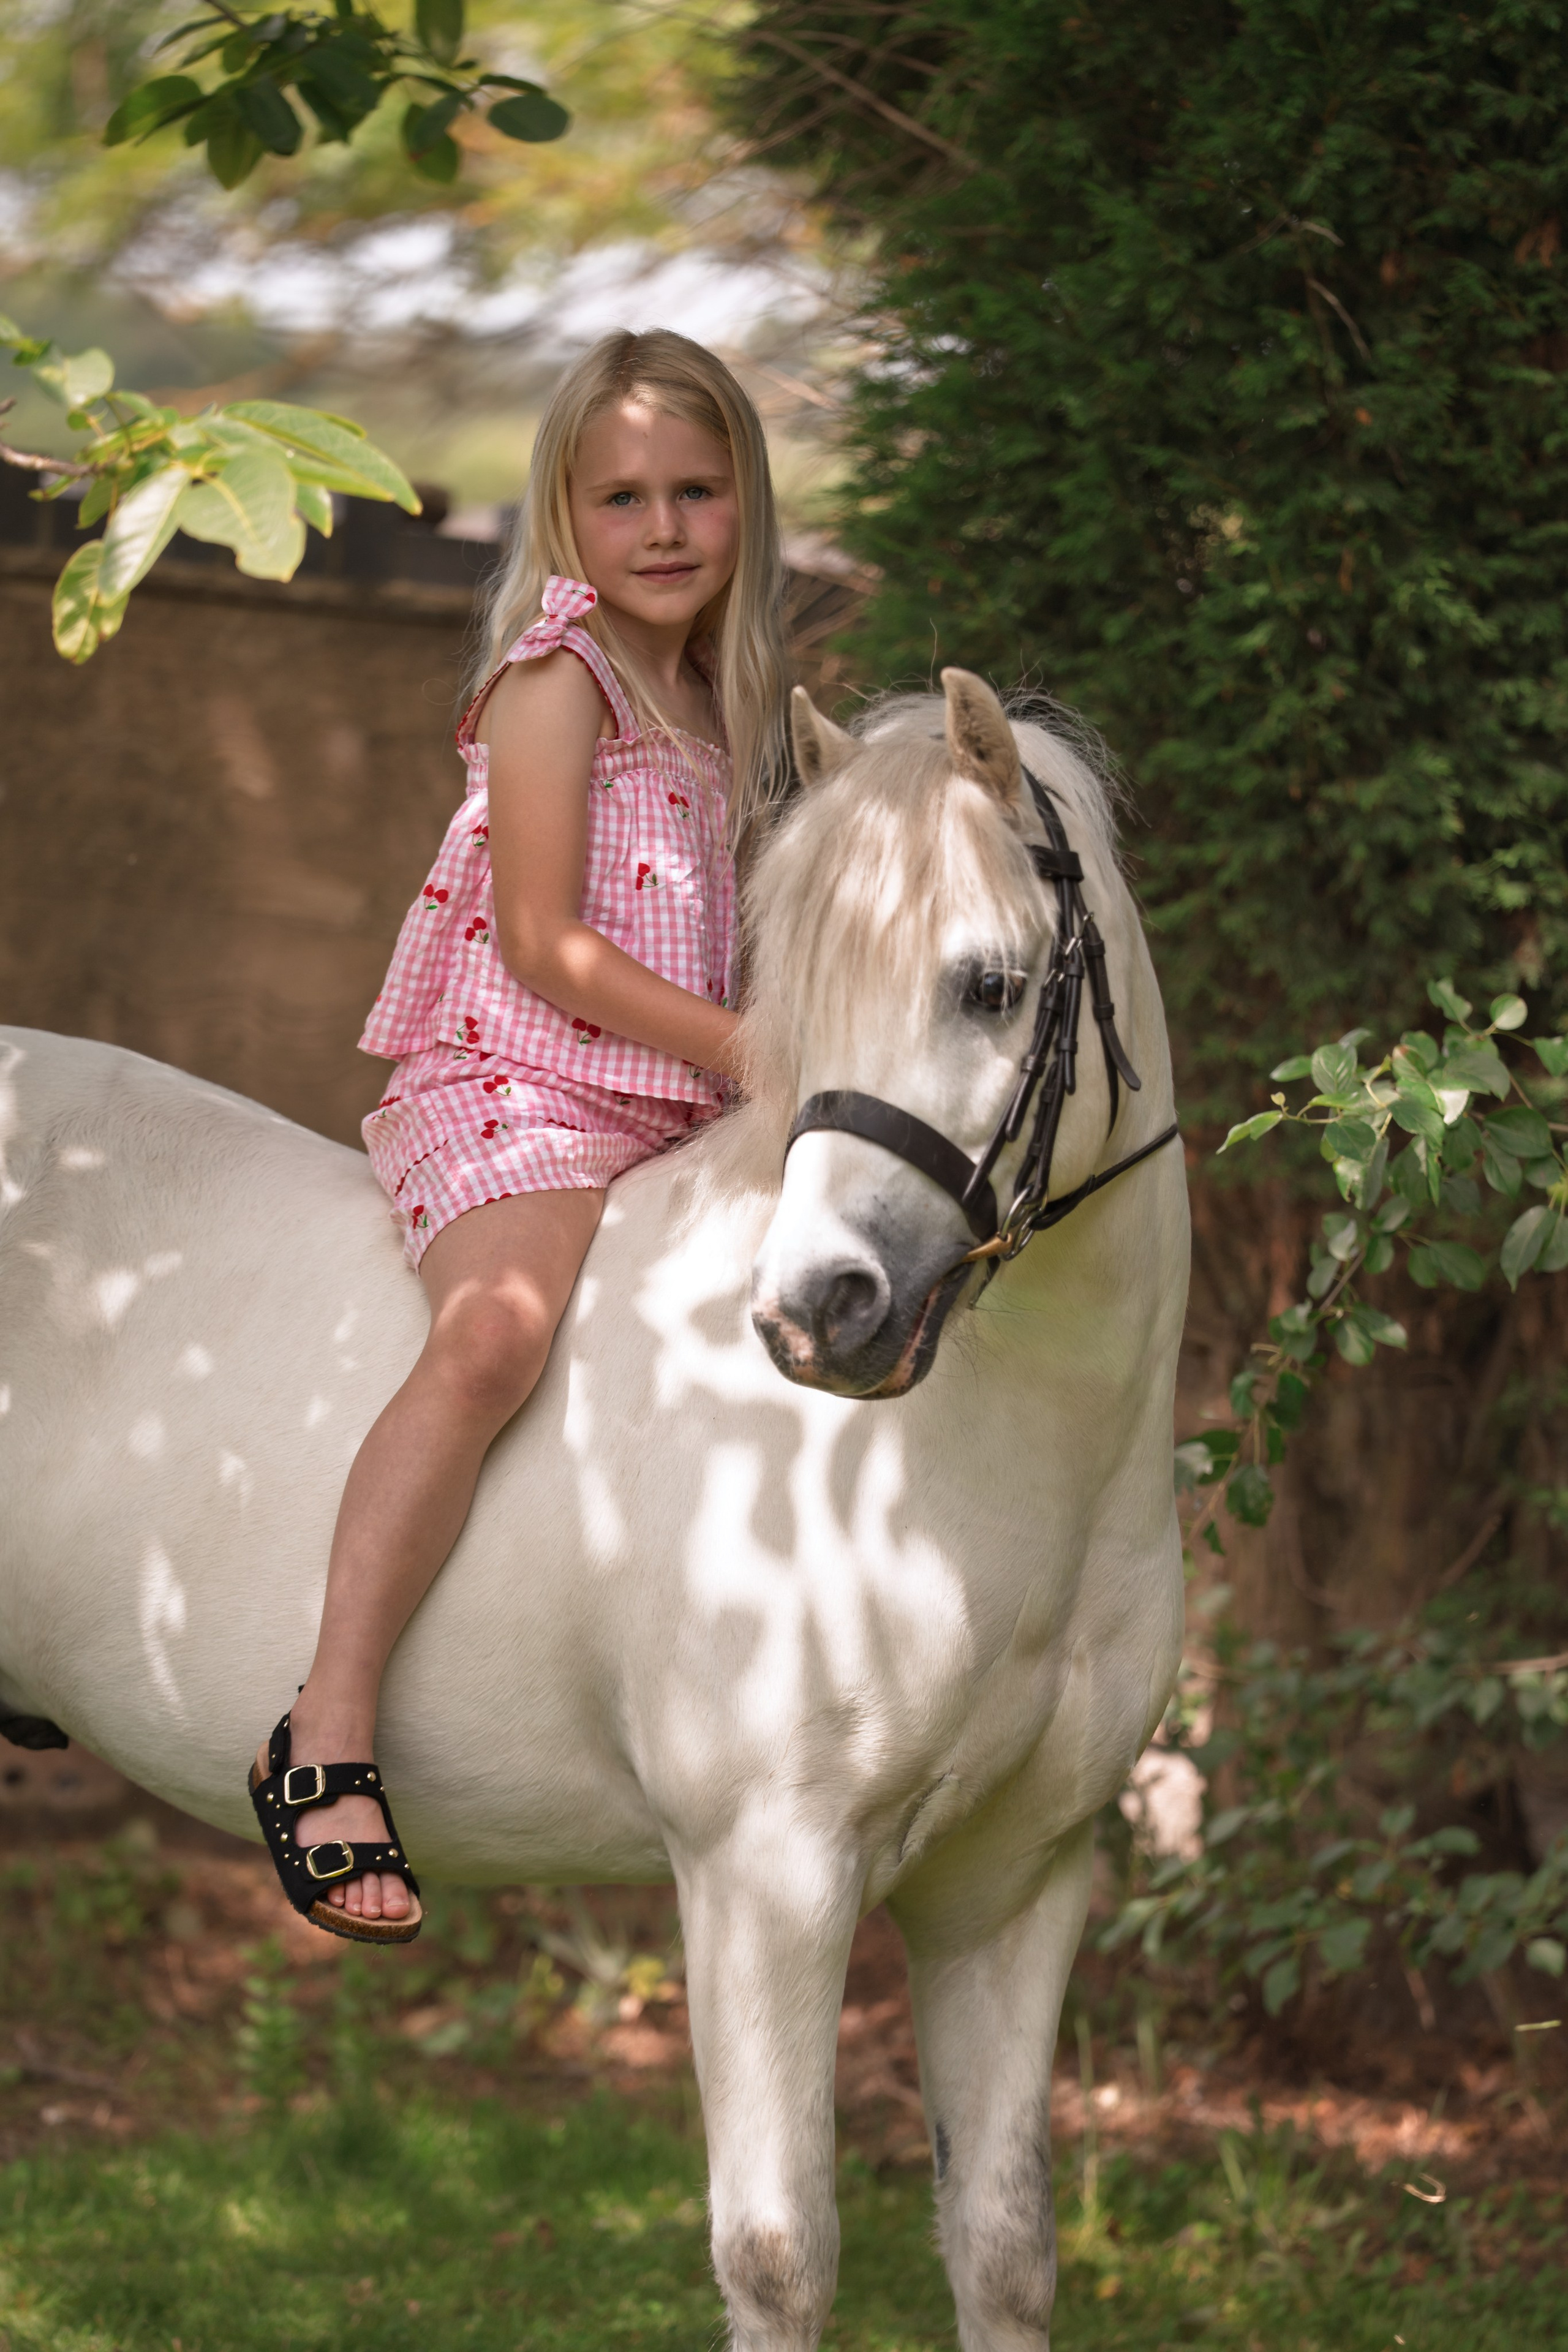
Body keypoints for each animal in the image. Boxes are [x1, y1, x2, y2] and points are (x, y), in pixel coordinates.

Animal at [0, 668, 1188, 2351]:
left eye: (987, 986)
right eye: (802, 1000)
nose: (818, 1310)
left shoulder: (1014, 1881)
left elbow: (1005, 2245)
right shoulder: (765, 1875)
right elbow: (778, 2255)